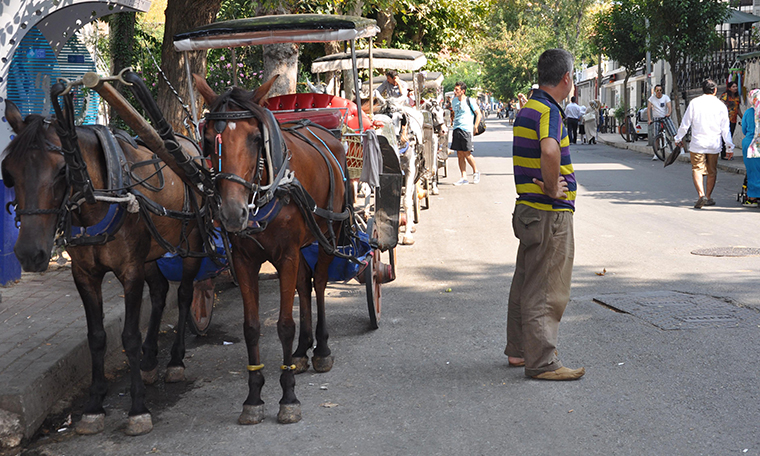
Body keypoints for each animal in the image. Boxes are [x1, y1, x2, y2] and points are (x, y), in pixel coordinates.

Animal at [0, 100, 205, 438]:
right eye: (9, 172)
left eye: (62, 169)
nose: (29, 253)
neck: (99, 199)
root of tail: (186, 143)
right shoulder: (84, 274)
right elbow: (96, 337)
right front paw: (94, 405)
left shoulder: (130, 271)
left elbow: (129, 336)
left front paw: (138, 408)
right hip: (151, 253)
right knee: (160, 292)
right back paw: (150, 361)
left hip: (191, 242)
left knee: (187, 293)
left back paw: (175, 360)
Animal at [193, 73, 348, 426]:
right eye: (208, 139)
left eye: (254, 138)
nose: (232, 212)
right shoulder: (243, 260)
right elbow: (251, 328)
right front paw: (253, 399)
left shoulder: (287, 255)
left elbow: (284, 325)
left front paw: (288, 397)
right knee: (304, 285)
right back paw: (302, 352)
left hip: (328, 231)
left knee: (319, 284)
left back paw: (321, 351)